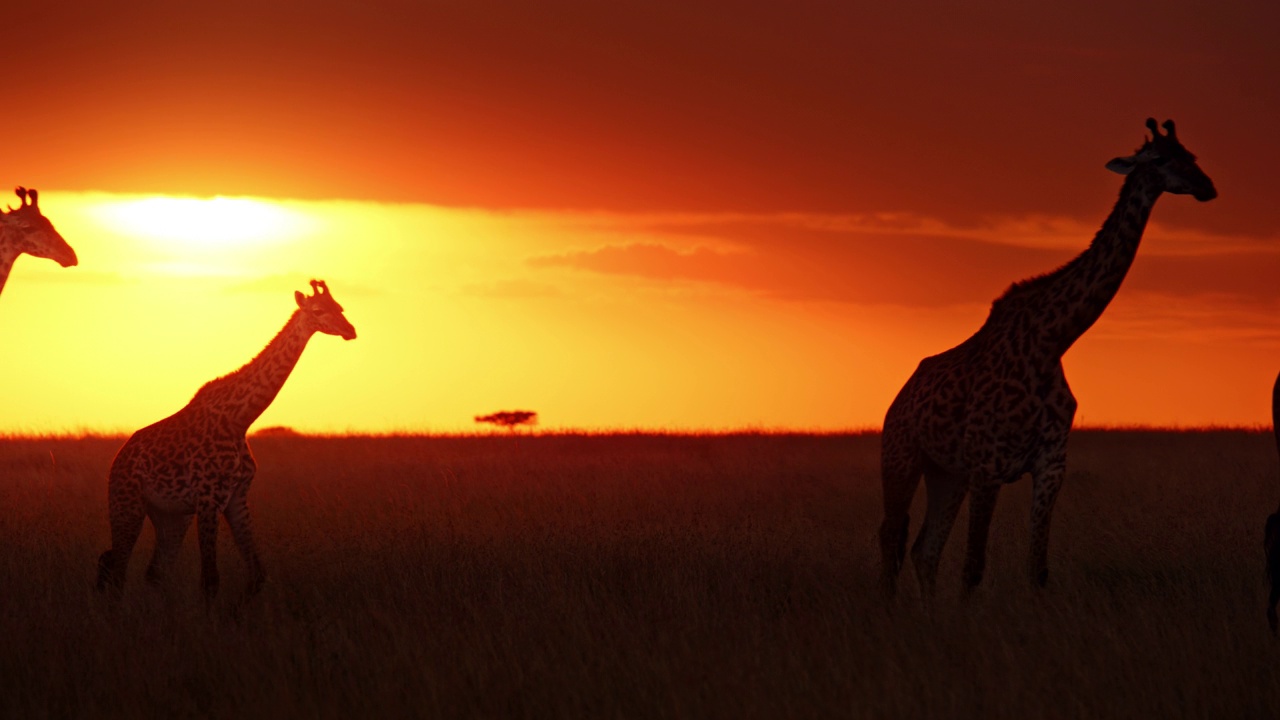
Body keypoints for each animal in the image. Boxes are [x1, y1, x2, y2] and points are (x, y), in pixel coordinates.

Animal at [95, 278, 358, 597]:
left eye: (340, 307)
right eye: (318, 310)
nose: (350, 330)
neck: (239, 419)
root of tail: (117, 460)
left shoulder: (237, 497)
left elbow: (258, 574)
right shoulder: (210, 499)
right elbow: (211, 579)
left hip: (171, 516)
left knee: (153, 571)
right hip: (127, 504)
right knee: (117, 566)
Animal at [880, 119, 1218, 599]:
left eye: (1191, 154)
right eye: (1160, 158)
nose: (1207, 187)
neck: (1050, 342)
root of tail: (898, 399)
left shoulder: (1050, 465)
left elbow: (1036, 569)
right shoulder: (989, 466)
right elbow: (973, 568)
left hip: (947, 473)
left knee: (924, 550)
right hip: (901, 459)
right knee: (891, 539)